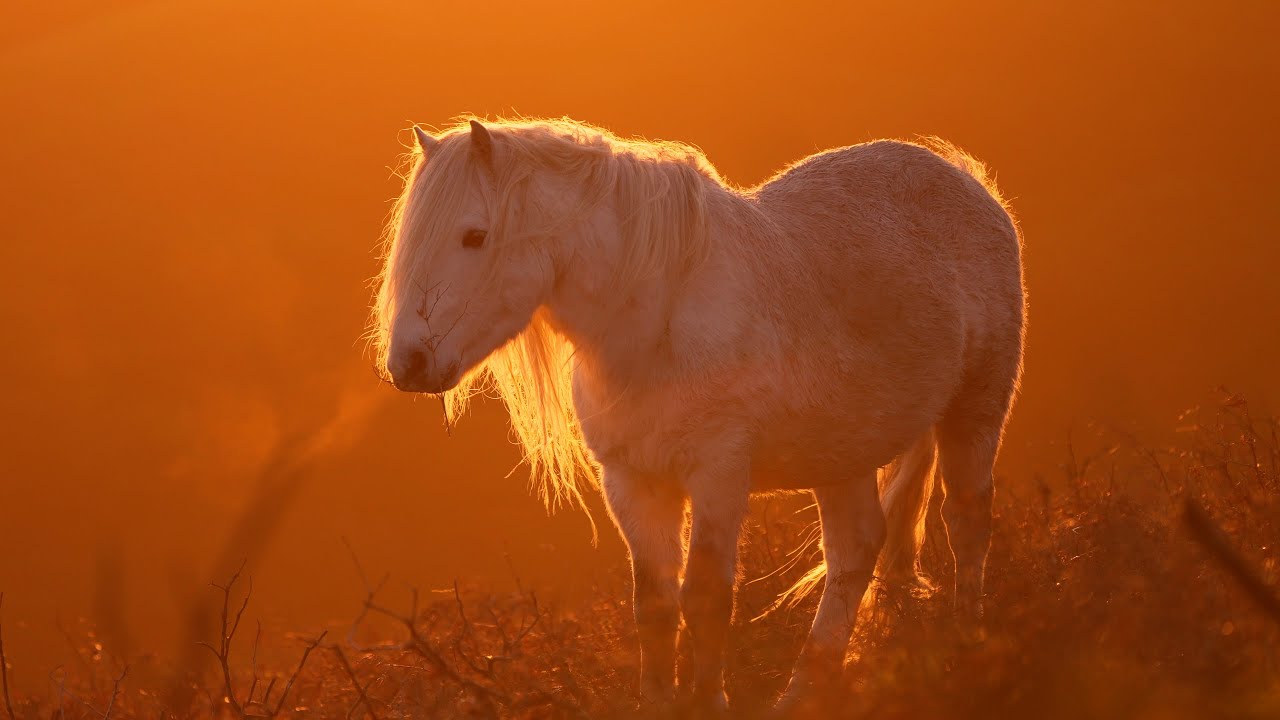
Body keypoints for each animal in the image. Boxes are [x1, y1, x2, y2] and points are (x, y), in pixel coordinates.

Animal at [372, 117, 1024, 713]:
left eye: (474, 236)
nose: (409, 363)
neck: (658, 320)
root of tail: (967, 182)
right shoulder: (634, 483)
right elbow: (656, 607)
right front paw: (660, 703)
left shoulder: (717, 475)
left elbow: (707, 600)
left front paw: (709, 701)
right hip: (844, 455)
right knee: (856, 549)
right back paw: (804, 694)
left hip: (975, 411)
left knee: (966, 524)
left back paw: (968, 651)